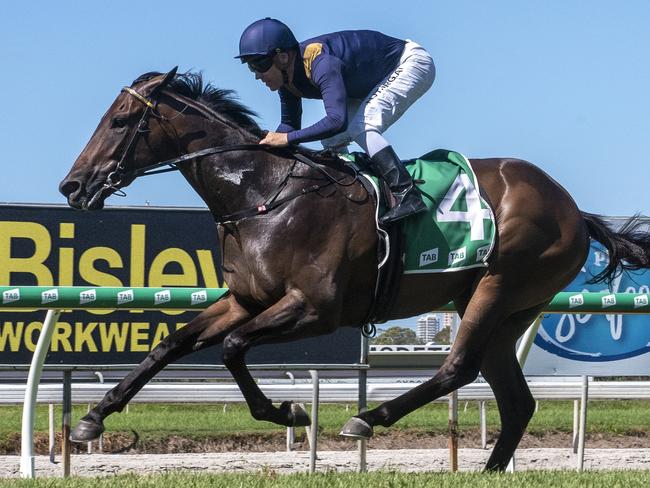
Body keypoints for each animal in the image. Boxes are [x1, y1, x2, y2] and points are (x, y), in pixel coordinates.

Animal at [58, 67, 644, 468]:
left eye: (120, 121)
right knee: (516, 401)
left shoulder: (316, 308)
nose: (72, 186)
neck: (261, 196)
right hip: (506, 310)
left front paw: (289, 411)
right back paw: (489, 469)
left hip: (499, 286)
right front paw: (92, 417)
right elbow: (171, 344)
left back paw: (367, 418)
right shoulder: (245, 300)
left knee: (458, 368)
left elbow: (232, 348)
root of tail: (573, 209)